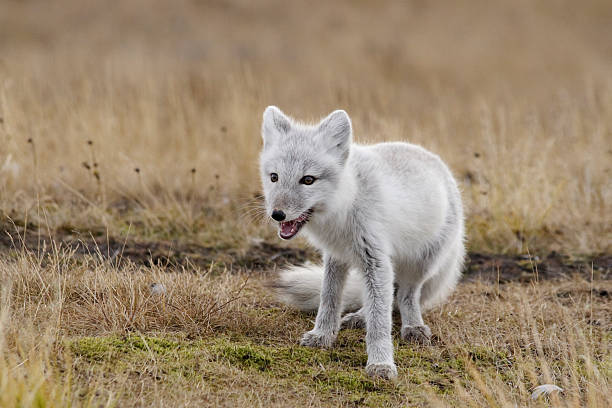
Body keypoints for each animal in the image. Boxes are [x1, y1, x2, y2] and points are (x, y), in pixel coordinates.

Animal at [258, 106, 464, 380]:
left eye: (308, 180)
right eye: (274, 177)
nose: (277, 215)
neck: (345, 204)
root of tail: (440, 164)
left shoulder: (375, 260)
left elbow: (380, 322)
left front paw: (381, 363)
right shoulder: (336, 256)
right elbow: (329, 299)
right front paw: (322, 336)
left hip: (420, 265)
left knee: (404, 297)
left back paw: (412, 326)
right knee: (386, 298)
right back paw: (359, 317)